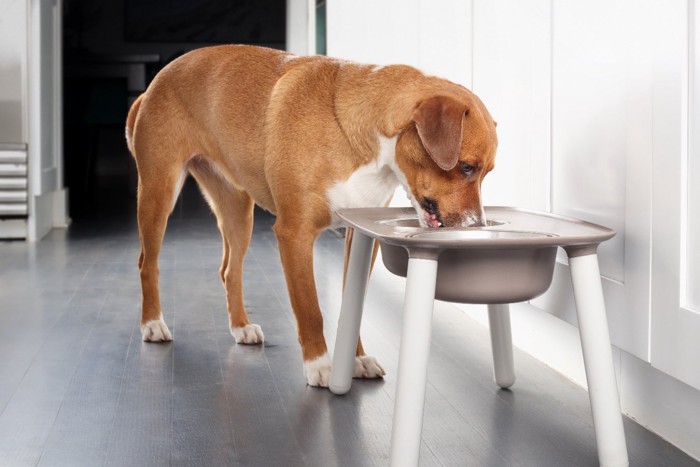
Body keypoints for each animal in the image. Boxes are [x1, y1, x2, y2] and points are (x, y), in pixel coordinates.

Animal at [126, 44, 498, 388]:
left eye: (487, 172)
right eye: (467, 167)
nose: (478, 226)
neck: (359, 138)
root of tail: (156, 82)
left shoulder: (360, 237)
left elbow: (352, 305)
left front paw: (355, 360)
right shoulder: (295, 235)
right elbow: (310, 310)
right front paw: (319, 365)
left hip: (237, 211)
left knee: (230, 270)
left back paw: (241, 327)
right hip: (158, 193)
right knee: (147, 263)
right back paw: (152, 324)